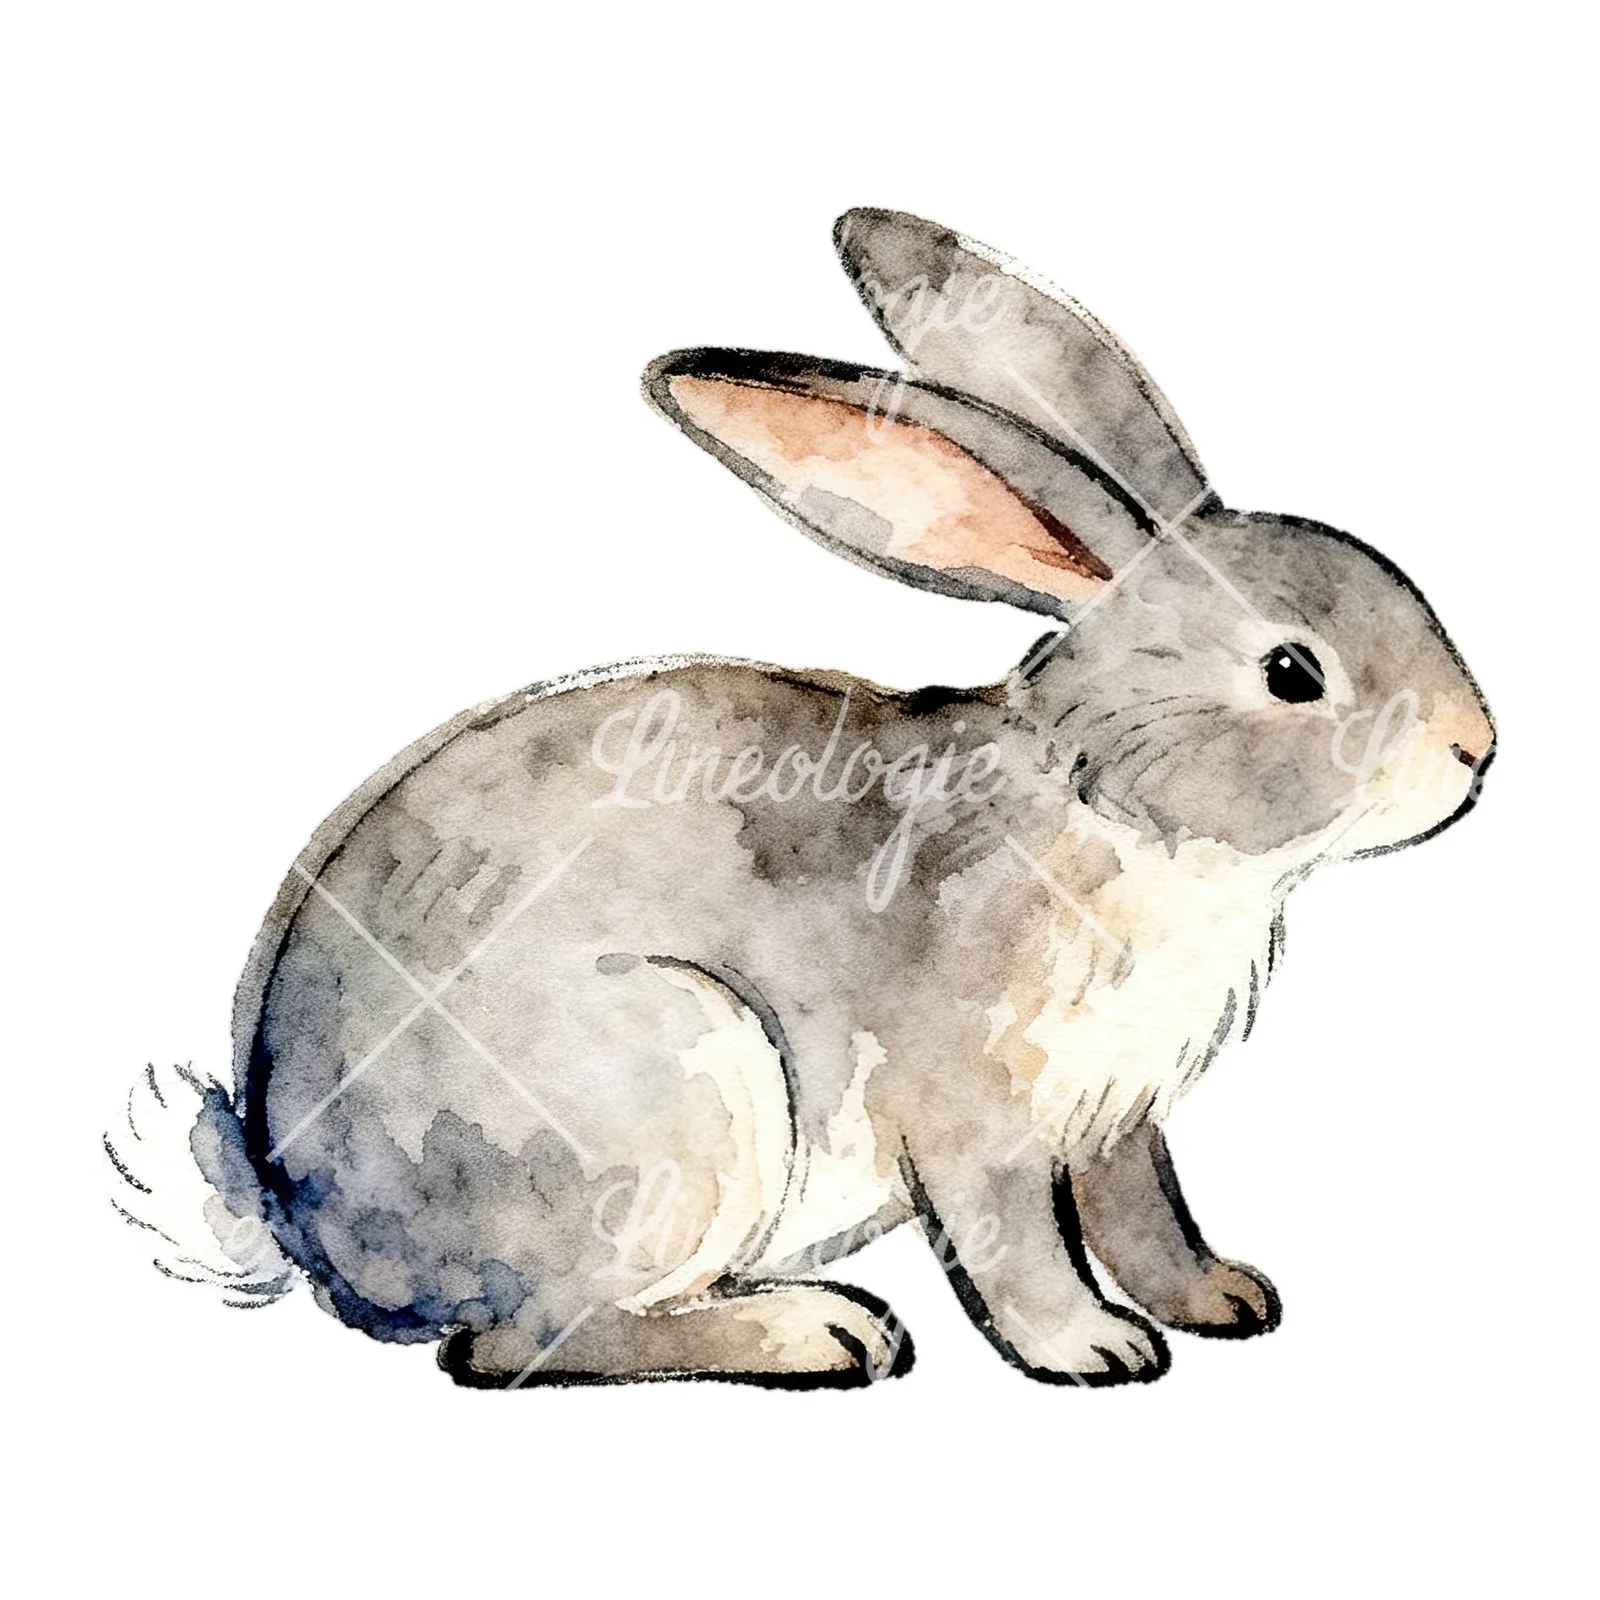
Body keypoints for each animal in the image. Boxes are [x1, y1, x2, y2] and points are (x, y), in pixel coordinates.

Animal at [108, 207, 1494, 1389]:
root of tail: (299, 1214)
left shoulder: (1114, 1119)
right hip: (676, 1090)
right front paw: (1093, 1349)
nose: (1477, 750)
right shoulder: (978, 1116)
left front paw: (1222, 1297)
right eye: (1291, 673)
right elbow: (1016, 1244)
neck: (1109, 800)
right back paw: (821, 1331)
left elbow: (1144, 1215)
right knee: (517, 1343)